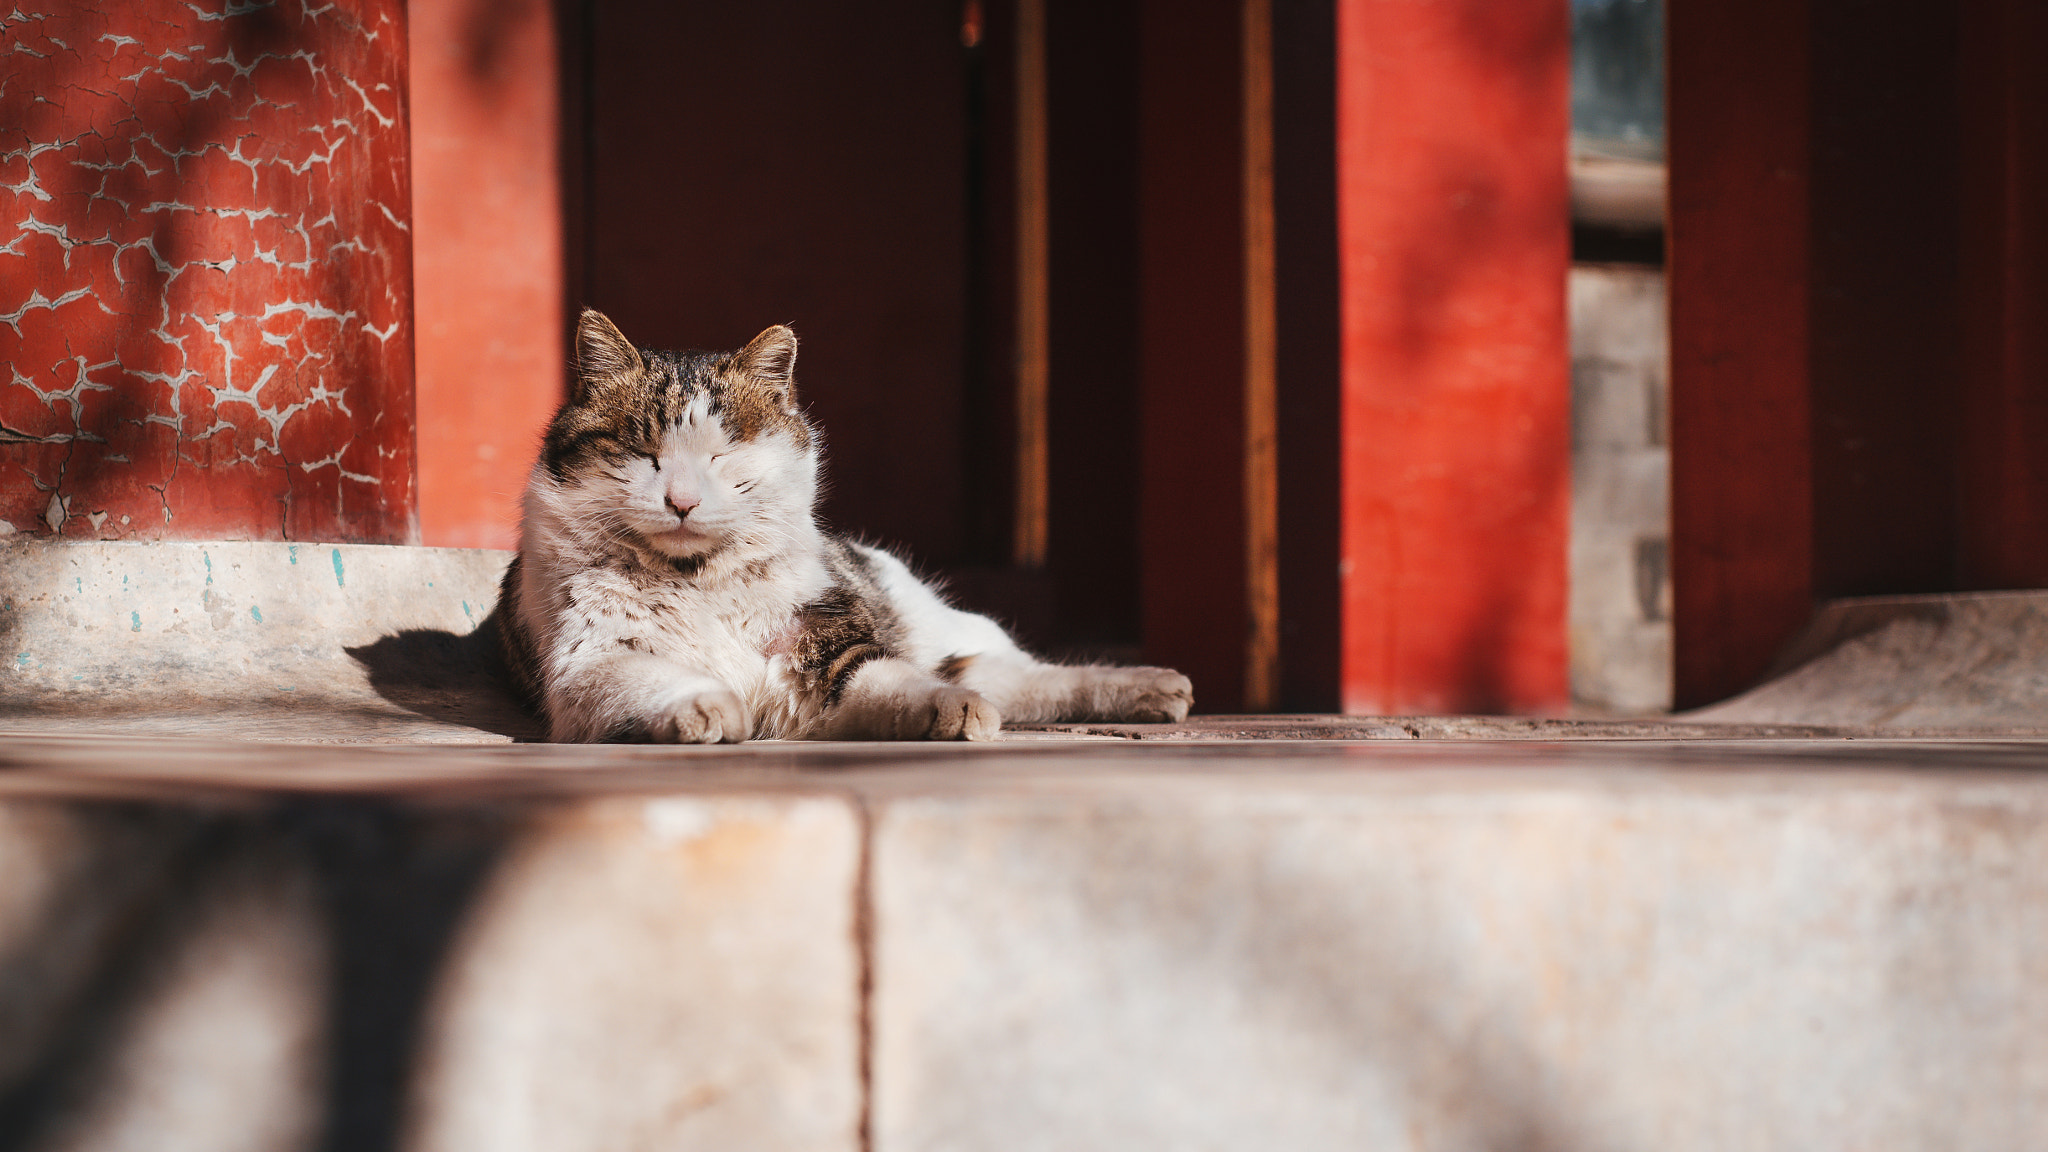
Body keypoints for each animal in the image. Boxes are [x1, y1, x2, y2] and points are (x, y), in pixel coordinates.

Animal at [499, 305, 1196, 737]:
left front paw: (955, 714)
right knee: (1006, 681)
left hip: (936, 624)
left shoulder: (833, 649)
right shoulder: (590, 662)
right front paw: (707, 709)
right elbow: (656, 681)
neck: (699, 579)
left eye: (724, 454)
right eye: (644, 454)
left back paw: (1157, 688)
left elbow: (898, 681)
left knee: (1019, 672)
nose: (682, 501)